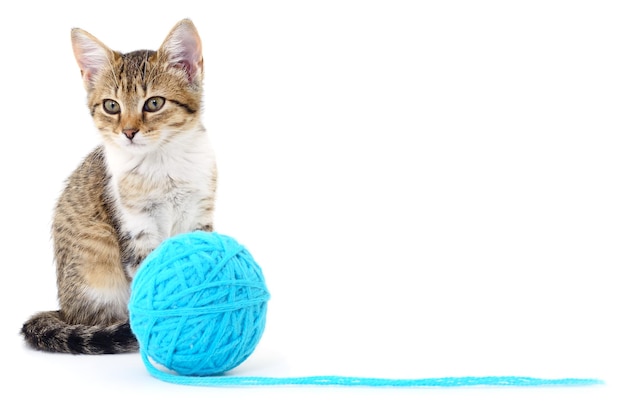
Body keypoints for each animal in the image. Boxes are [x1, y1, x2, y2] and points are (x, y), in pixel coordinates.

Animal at [21, 17, 217, 352]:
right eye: (111, 106)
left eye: (154, 103)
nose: (128, 132)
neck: (163, 162)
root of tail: (65, 311)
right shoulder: (135, 229)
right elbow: (152, 277)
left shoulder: (200, 214)